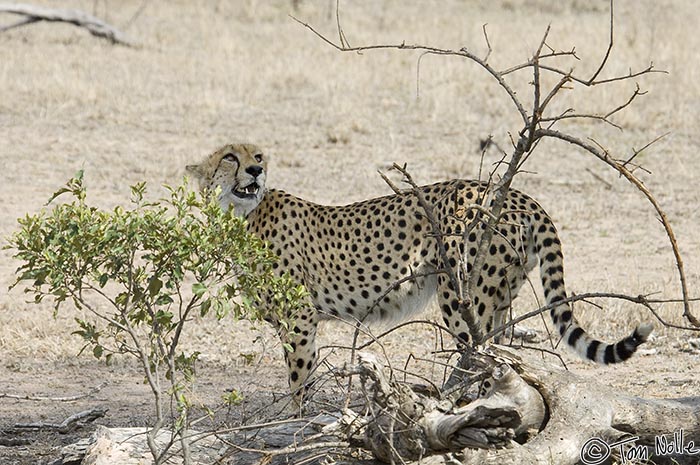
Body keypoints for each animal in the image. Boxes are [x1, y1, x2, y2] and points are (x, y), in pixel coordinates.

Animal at [185, 143, 652, 400]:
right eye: (230, 157)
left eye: (258, 155)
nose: (256, 169)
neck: (242, 215)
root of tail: (519, 194)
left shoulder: (299, 319)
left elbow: (300, 377)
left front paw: (293, 423)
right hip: (501, 293)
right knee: (502, 354)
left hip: (462, 293)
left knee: (479, 356)